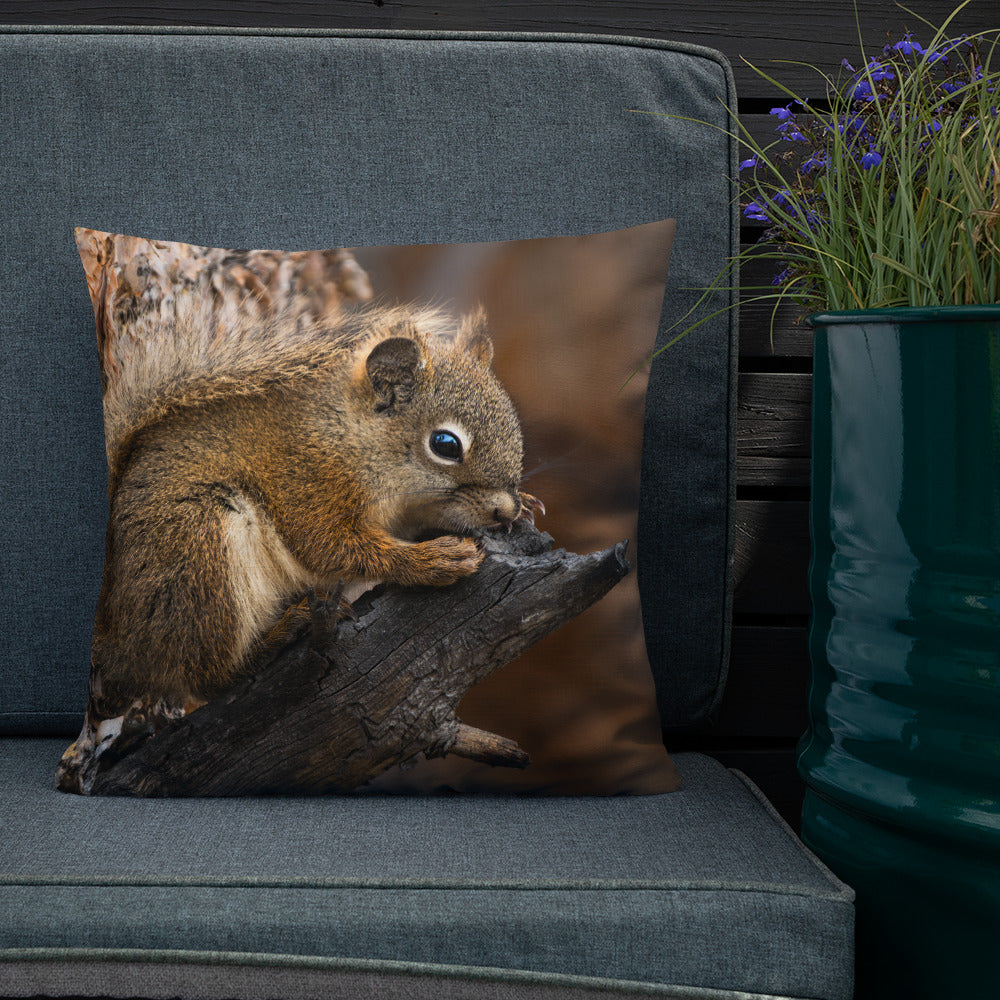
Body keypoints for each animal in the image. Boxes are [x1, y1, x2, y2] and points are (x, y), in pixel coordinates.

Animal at [86, 301, 543, 722]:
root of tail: (115, 639)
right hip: (198, 550)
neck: (348, 435)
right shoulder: (307, 482)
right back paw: (284, 632)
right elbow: (329, 547)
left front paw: (526, 506)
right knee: (207, 677)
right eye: (445, 444)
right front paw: (434, 560)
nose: (505, 510)